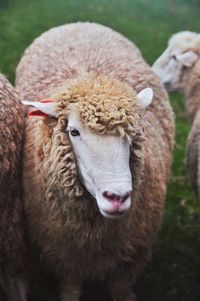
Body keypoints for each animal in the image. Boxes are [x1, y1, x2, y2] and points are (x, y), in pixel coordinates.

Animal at [15, 22, 174, 298]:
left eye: (134, 133)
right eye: (73, 132)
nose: (117, 197)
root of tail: (79, 23)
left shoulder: (131, 259)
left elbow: (122, 290)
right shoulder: (66, 258)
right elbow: (70, 290)